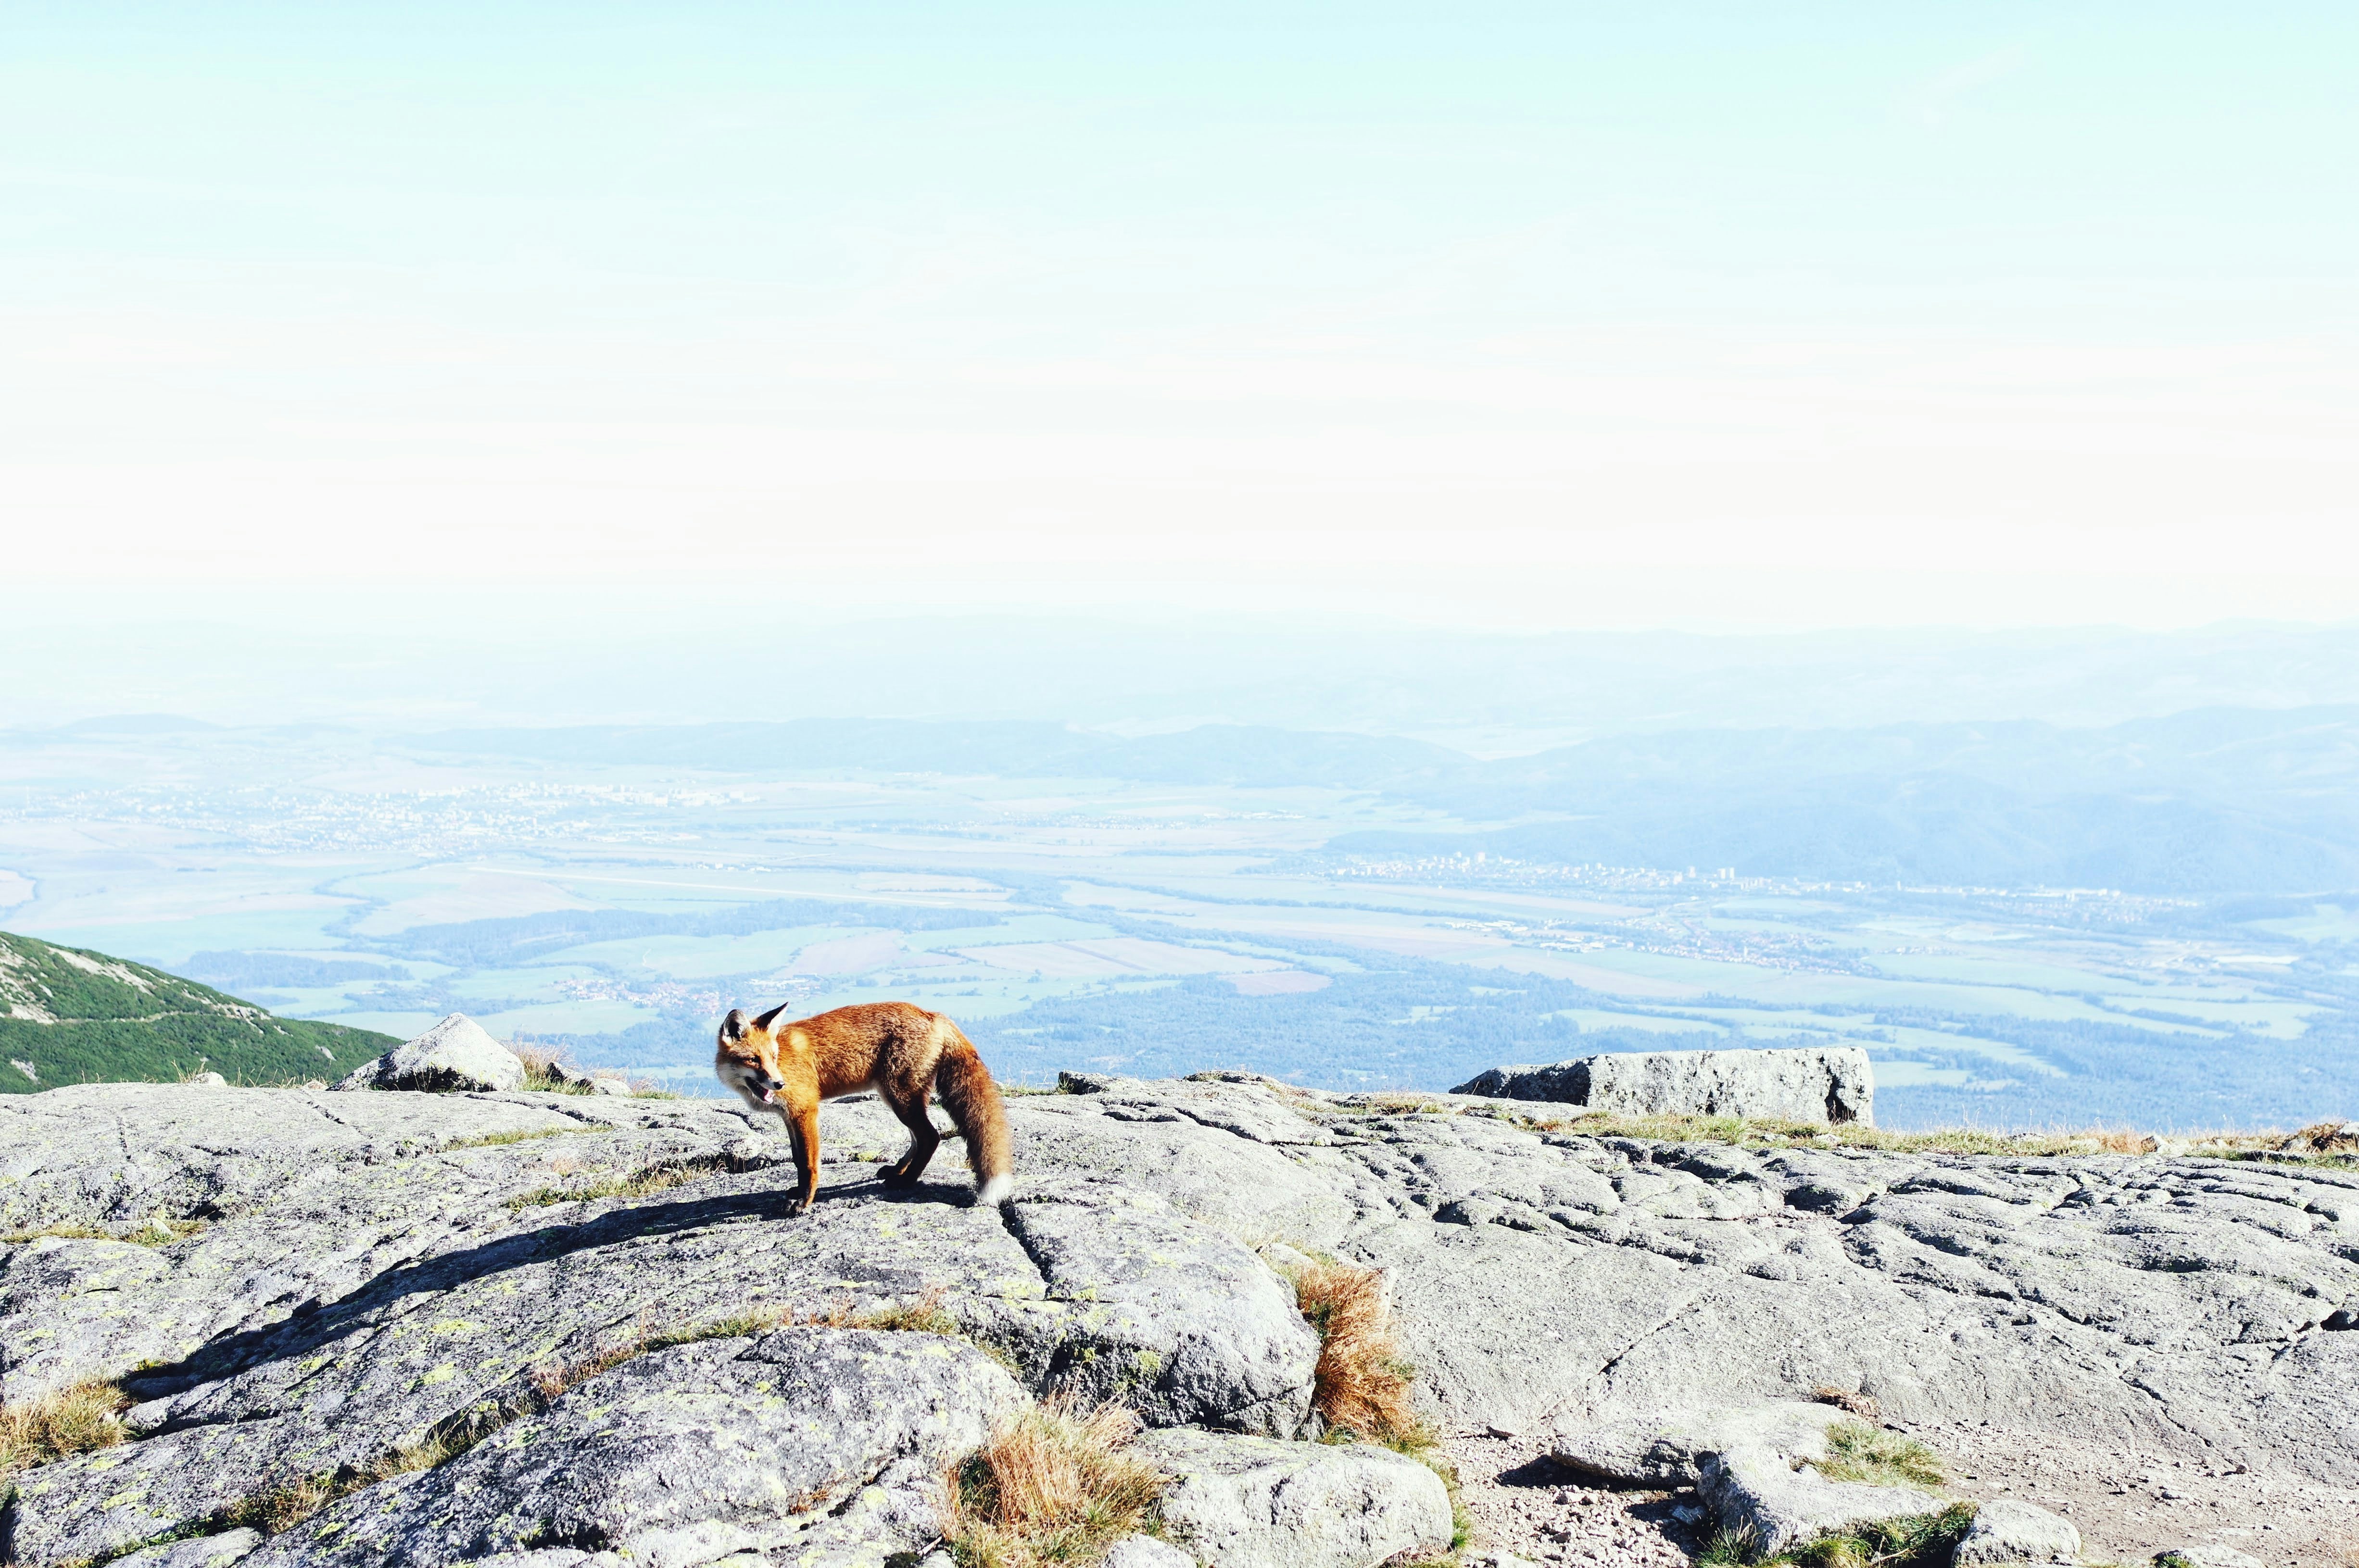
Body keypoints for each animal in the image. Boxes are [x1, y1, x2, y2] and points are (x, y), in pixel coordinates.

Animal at [714, 1000, 1014, 1216]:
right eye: (754, 1059)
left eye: (773, 1057)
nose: (779, 1083)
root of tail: (933, 1014)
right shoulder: (790, 1117)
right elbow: (798, 1160)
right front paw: (797, 1193)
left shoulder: (805, 1111)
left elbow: (810, 1164)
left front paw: (804, 1202)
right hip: (898, 1099)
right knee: (918, 1139)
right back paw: (897, 1171)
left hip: (900, 1098)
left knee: (931, 1137)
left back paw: (906, 1182)